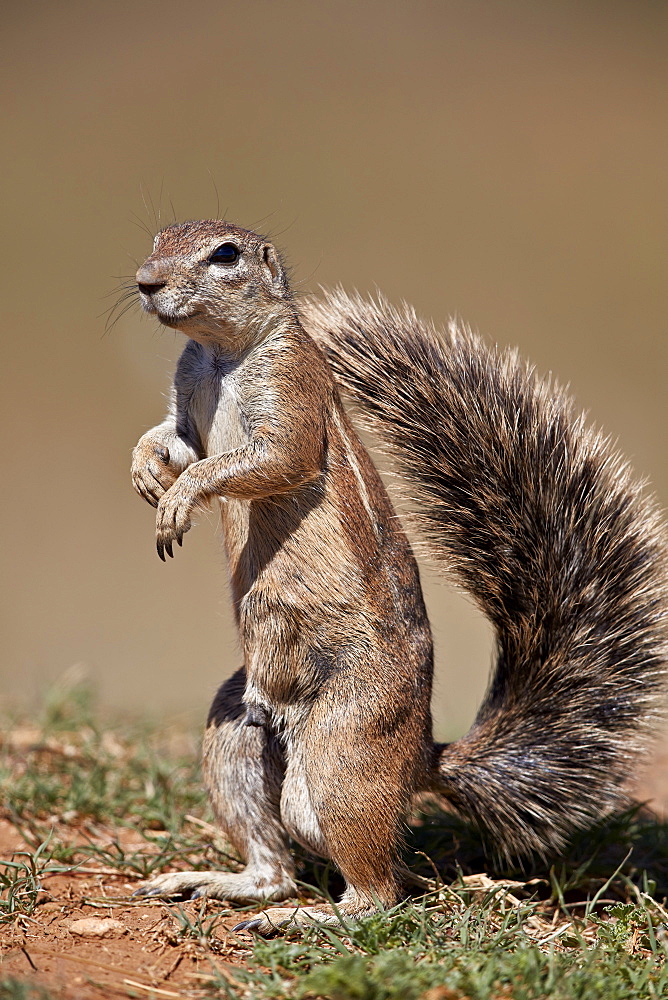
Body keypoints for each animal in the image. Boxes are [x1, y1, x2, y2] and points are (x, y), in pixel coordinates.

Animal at [130, 221, 668, 936]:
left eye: (225, 255)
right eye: (158, 238)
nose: (146, 282)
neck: (221, 354)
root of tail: (422, 757)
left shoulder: (291, 393)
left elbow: (268, 460)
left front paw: (181, 495)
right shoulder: (186, 399)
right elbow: (175, 440)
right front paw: (146, 470)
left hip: (341, 760)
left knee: (380, 891)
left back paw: (311, 919)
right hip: (234, 734)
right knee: (276, 867)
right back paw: (219, 883)